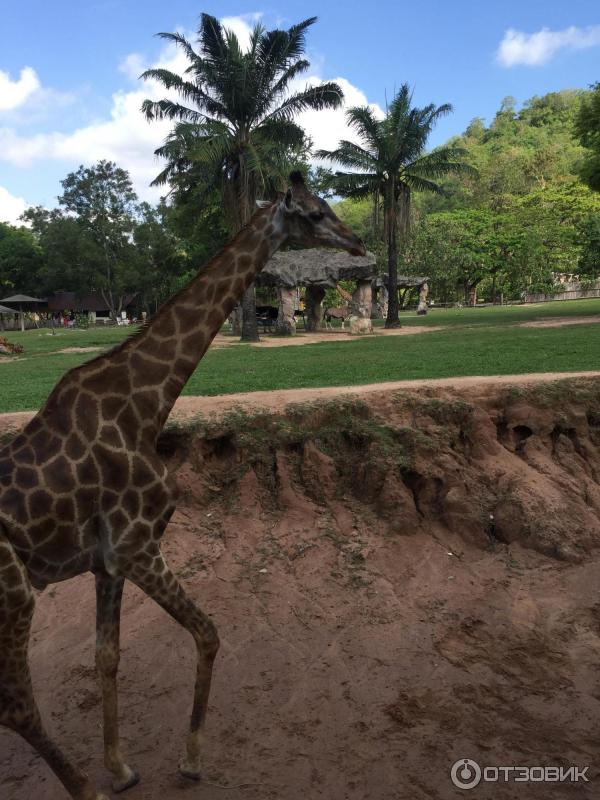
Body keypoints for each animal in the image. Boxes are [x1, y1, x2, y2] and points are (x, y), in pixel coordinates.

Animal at [0, 173, 366, 800]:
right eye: (316, 214)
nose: (359, 243)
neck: (147, 405)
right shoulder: (139, 545)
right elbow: (210, 633)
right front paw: (190, 760)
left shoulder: (108, 561)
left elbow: (107, 657)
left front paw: (122, 767)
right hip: (15, 593)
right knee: (16, 705)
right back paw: (86, 791)